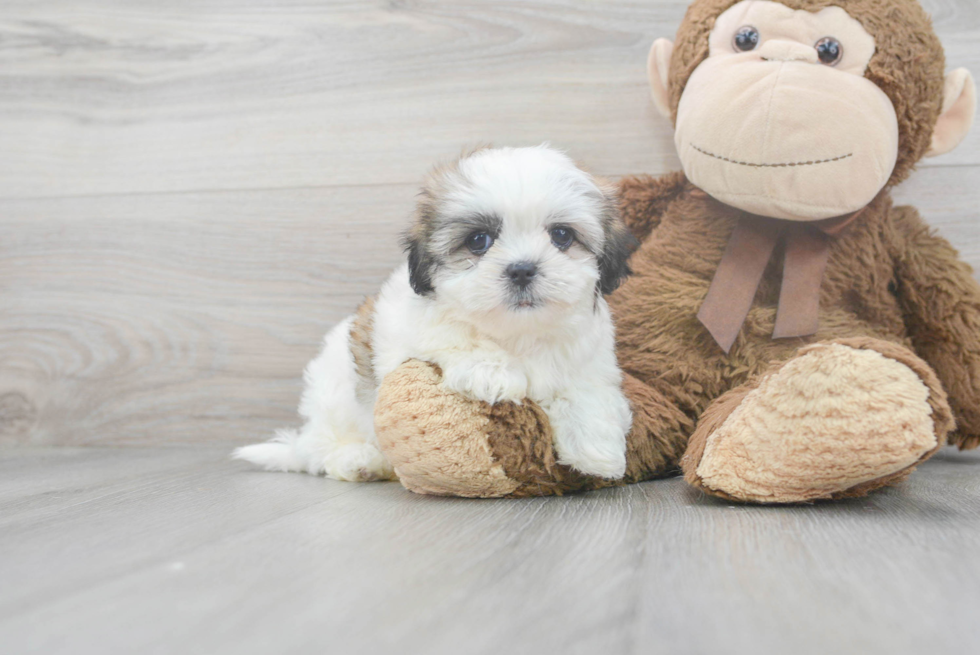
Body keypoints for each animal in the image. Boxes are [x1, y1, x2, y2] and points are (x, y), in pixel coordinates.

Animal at [234, 147, 640, 482]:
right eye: (478, 240)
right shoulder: (408, 329)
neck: (516, 333)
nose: (522, 269)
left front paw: (597, 450)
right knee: (320, 449)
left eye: (562, 235)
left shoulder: (591, 358)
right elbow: (450, 337)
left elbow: (587, 390)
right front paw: (490, 372)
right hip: (333, 395)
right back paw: (357, 461)